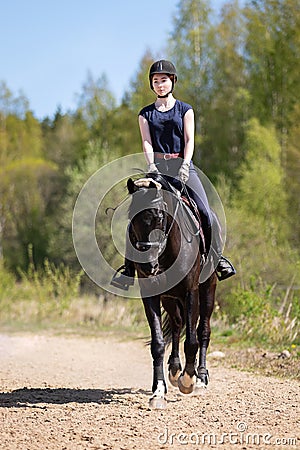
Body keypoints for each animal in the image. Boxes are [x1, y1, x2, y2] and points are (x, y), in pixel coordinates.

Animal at [126, 174, 216, 410]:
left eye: (159, 217)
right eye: (131, 217)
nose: (148, 265)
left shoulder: (191, 292)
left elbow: (192, 341)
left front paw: (188, 380)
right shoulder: (151, 295)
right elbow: (158, 343)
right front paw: (158, 392)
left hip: (207, 291)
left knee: (203, 330)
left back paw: (200, 379)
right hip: (169, 299)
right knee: (177, 324)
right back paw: (175, 370)